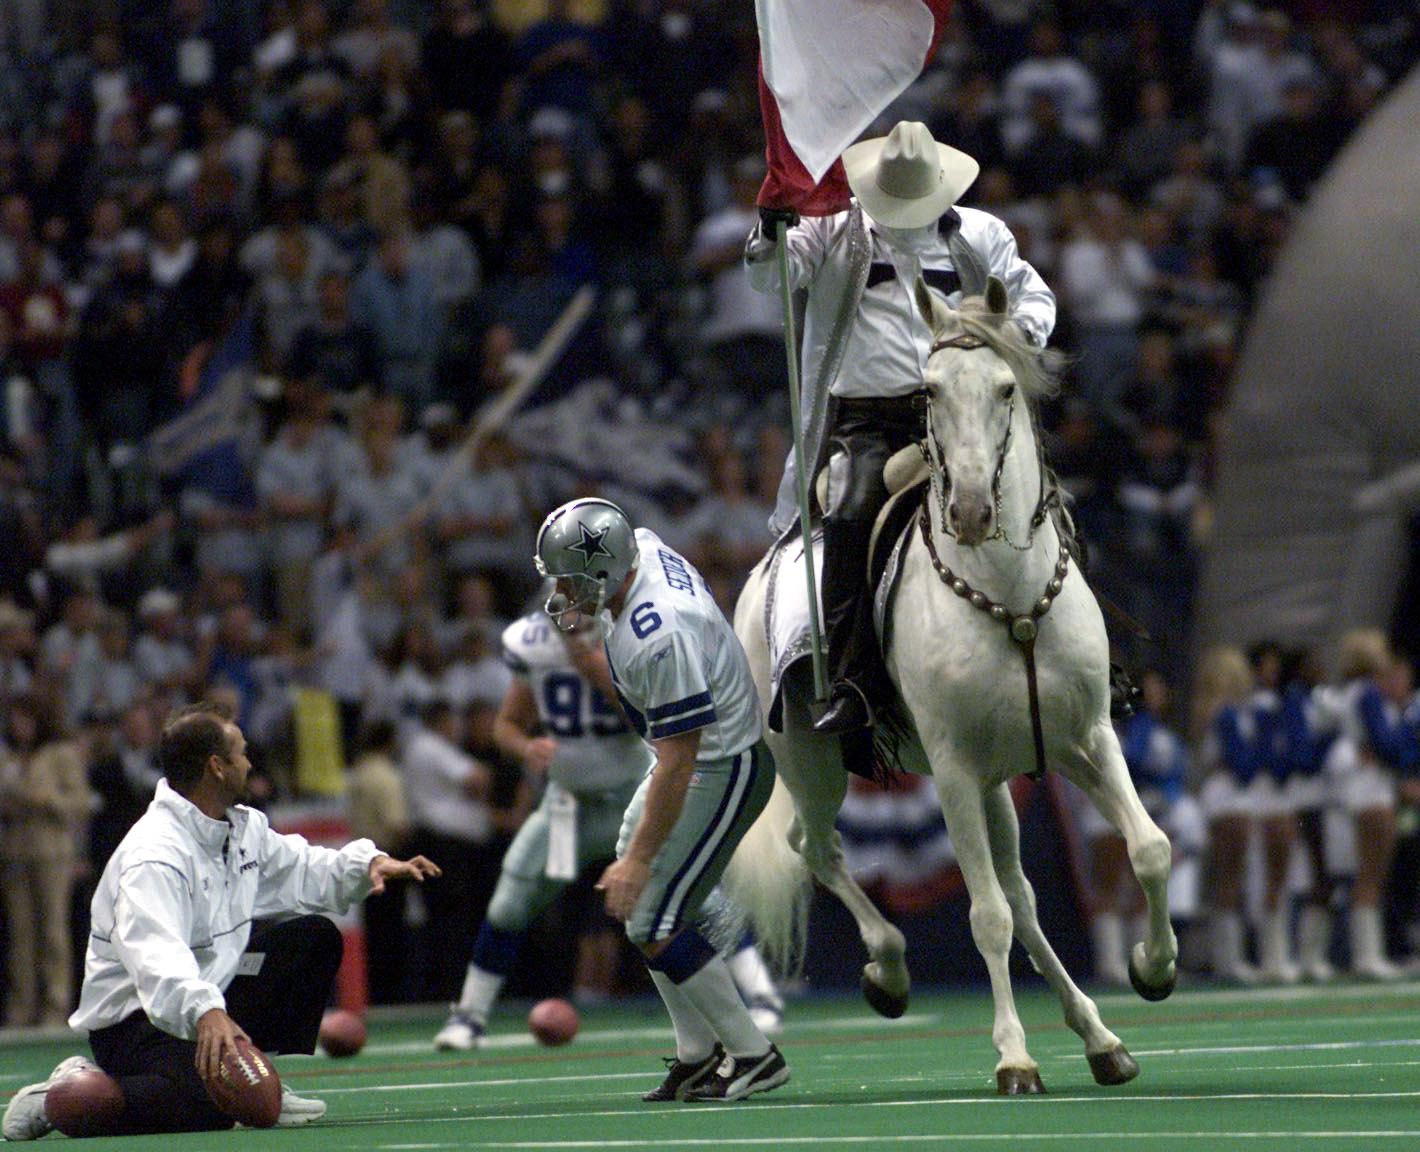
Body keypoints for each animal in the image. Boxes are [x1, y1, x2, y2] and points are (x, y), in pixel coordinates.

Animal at [727, 274, 1181, 1096]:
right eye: (931, 391)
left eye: (1005, 388)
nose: (970, 510)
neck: (1006, 594)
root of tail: (759, 574)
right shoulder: (954, 771)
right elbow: (985, 917)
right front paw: (1014, 1058)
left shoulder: (1085, 741)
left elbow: (1149, 849)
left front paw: (1152, 969)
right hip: (812, 762)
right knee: (816, 846)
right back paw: (889, 972)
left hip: (1001, 782)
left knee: (1024, 898)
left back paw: (1099, 1037)